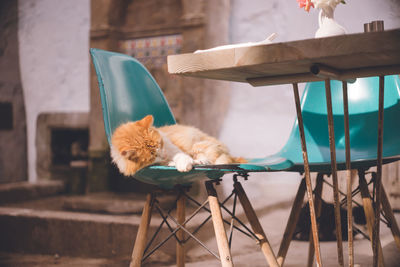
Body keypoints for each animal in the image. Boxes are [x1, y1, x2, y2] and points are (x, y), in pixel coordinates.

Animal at [111, 114, 245, 176]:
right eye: (153, 155)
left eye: (160, 144)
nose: (164, 156)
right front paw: (172, 163)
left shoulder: (175, 149)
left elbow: (182, 157)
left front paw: (184, 165)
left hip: (198, 145)